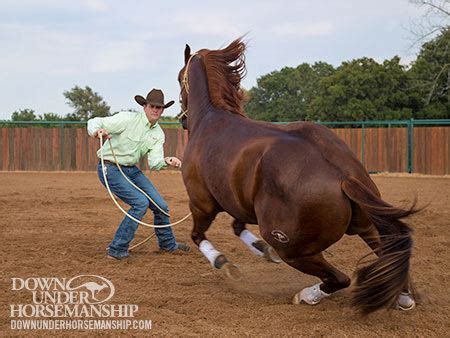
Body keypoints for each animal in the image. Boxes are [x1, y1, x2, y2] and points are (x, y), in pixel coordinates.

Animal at [178, 38, 416, 316]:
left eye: (180, 77)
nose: (182, 120)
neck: (210, 121)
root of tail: (343, 176)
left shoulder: (202, 204)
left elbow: (198, 236)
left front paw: (223, 263)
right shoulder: (237, 203)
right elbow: (238, 227)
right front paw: (262, 251)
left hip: (292, 248)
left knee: (340, 279)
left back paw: (306, 295)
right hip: (366, 226)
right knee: (386, 257)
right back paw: (403, 297)